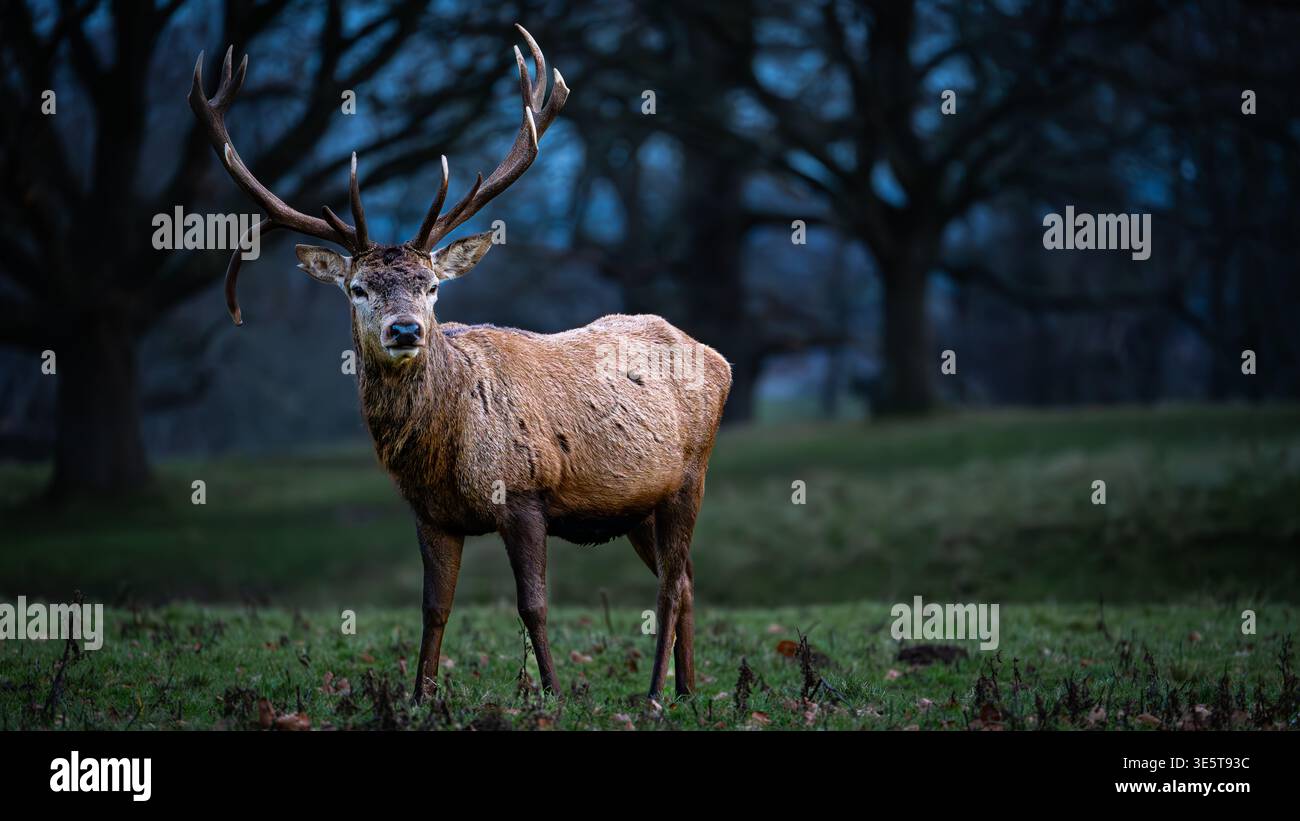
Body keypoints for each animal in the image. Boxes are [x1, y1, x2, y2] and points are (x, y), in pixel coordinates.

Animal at [188, 26, 731, 701]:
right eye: (357, 288)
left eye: (431, 286)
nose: (405, 329)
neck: (446, 450)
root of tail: (718, 357)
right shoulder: (430, 516)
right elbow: (434, 609)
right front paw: (420, 695)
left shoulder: (524, 491)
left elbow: (533, 606)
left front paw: (552, 694)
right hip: (638, 503)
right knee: (686, 579)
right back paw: (686, 690)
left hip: (690, 475)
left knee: (669, 586)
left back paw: (656, 694)